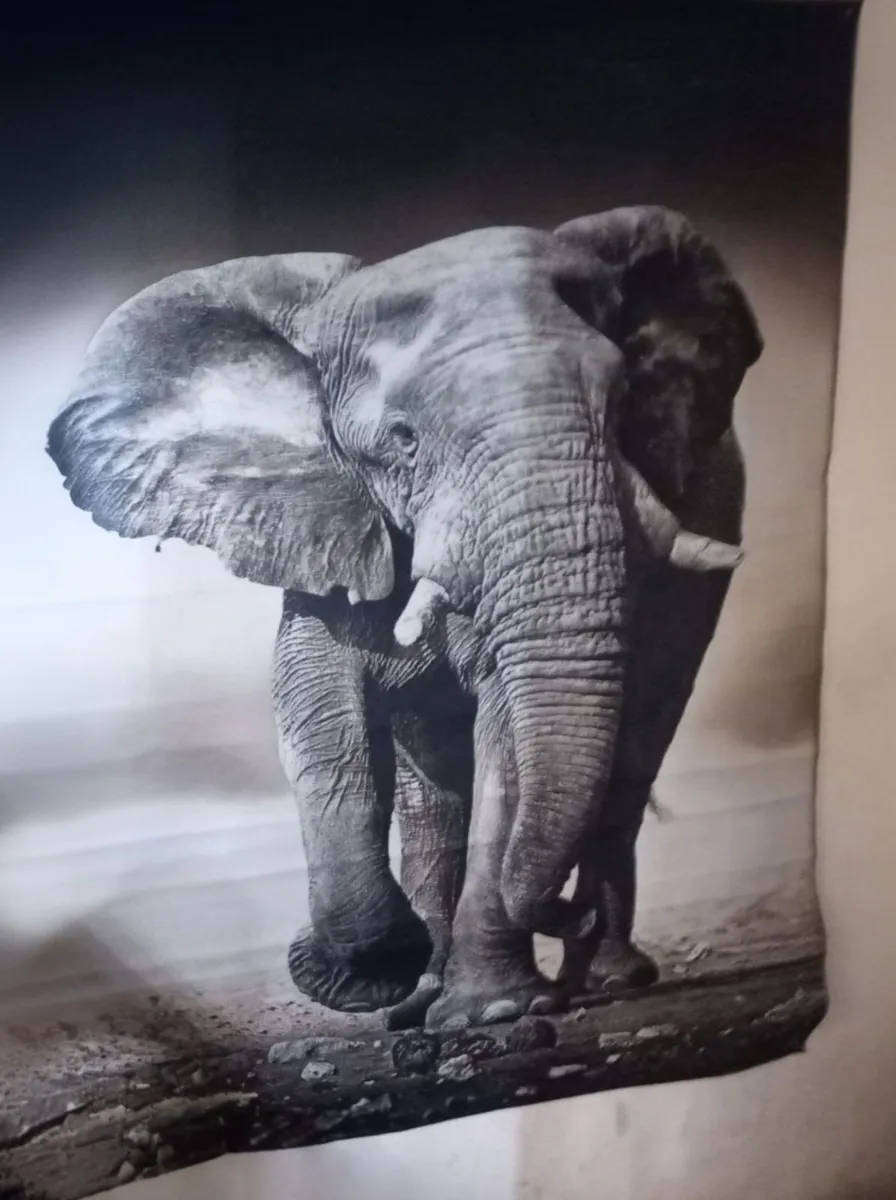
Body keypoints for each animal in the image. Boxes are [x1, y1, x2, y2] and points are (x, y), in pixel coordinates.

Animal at [47, 206, 761, 1031]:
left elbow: (506, 740)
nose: (563, 915)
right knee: (439, 794)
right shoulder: (328, 522)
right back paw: (427, 997)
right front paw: (377, 975)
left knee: (633, 751)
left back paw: (605, 981)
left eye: (619, 412)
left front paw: (490, 1011)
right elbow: (321, 717)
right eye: (402, 439)